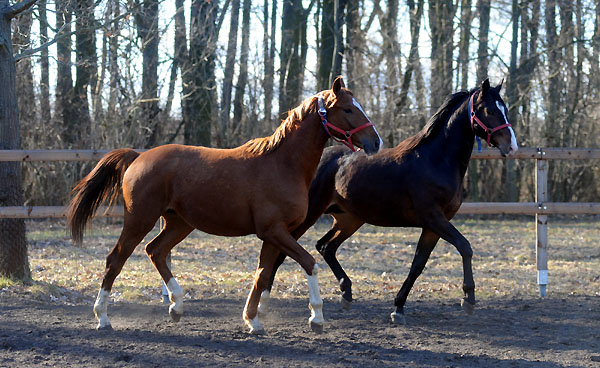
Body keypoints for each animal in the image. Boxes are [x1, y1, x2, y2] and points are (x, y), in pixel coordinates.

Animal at [67, 77, 384, 334]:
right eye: (348, 109)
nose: (375, 142)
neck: (282, 165)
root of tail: (137, 157)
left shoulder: (273, 235)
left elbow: (262, 274)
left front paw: (253, 321)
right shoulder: (274, 231)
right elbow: (309, 264)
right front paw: (316, 318)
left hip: (178, 222)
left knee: (155, 251)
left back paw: (176, 306)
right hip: (139, 219)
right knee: (116, 259)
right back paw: (103, 318)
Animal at [262, 79, 520, 324]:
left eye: (505, 109)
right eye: (489, 110)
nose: (511, 146)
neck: (436, 161)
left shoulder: (434, 225)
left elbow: (418, 264)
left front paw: (398, 308)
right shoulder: (434, 218)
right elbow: (465, 247)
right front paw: (468, 298)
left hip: (350, 219)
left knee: (326, 246)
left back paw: (346, 293)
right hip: (310, 215)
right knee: (283, 251)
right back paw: (265, 301)